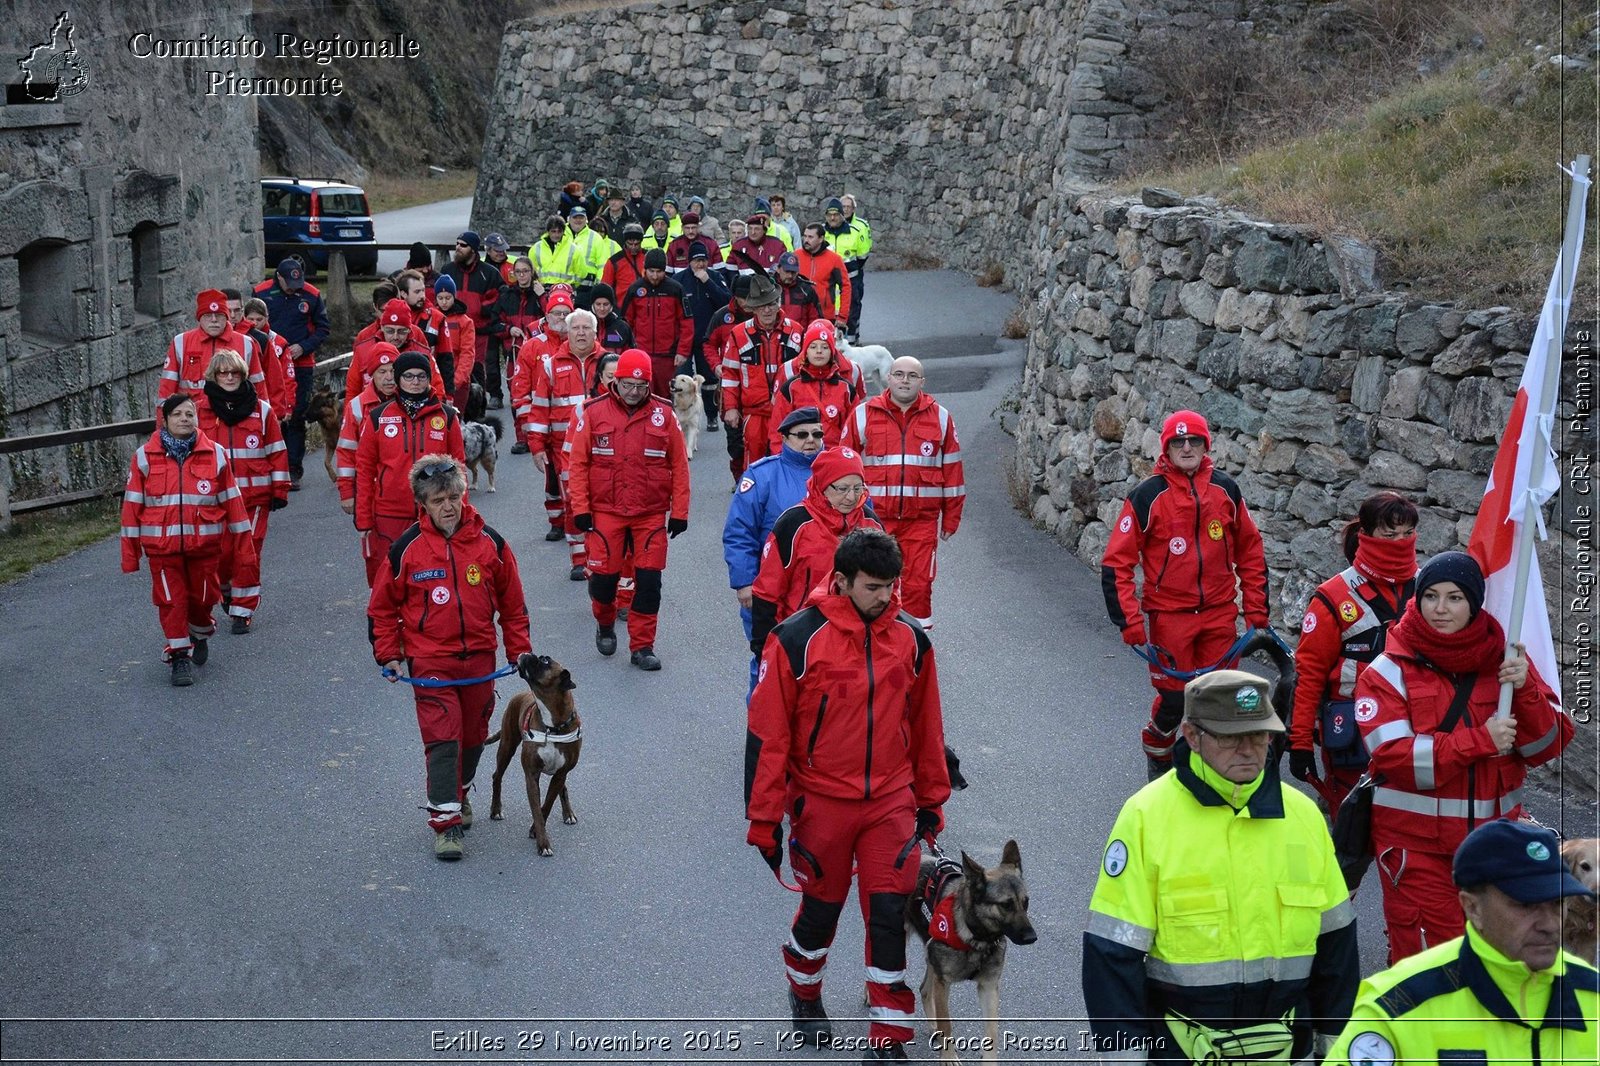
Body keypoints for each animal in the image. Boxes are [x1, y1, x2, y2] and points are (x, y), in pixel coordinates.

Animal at [492, 646, 588, 857]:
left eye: (545, 661)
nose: (528, 652)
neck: (553, 725)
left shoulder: (560, 774)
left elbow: (547, 805)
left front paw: (536, 831)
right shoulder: (531, 775)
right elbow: (537, 810)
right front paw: (543, 842)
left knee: (562, 788)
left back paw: (568, 814)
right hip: (507, 747)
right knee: (497, 776)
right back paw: (495, 810)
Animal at [902, 838, 1036, 1056]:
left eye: (1026, 902)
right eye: (1006, 905)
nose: (1032, 937)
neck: (977, 937)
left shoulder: (988, 987)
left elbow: (992, 1032)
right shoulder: (943, 983)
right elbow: (946, 1023)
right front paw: (949, 1057)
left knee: (924, 989)